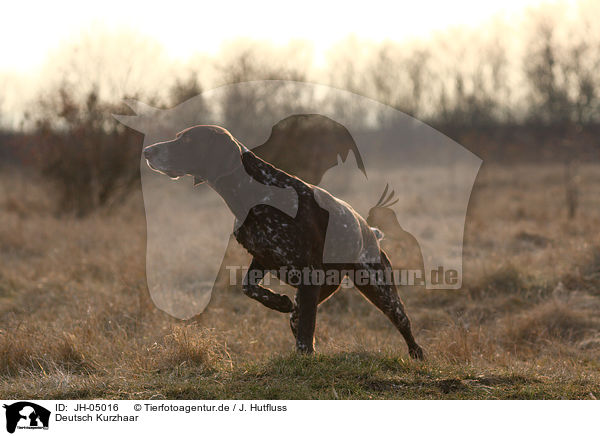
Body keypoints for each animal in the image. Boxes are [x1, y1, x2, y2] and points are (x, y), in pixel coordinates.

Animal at [144, 125, 422, 358]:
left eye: (188, 140)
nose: (148, 151)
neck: (256, 193)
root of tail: (370, 232)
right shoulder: (263, 257)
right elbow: (249, 288)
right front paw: (278, 301)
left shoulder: (308, 273)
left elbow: (305, 332)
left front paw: (303, 354)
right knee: (297, 315)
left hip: (381, 289)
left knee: (404, 324)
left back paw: (416, 354)